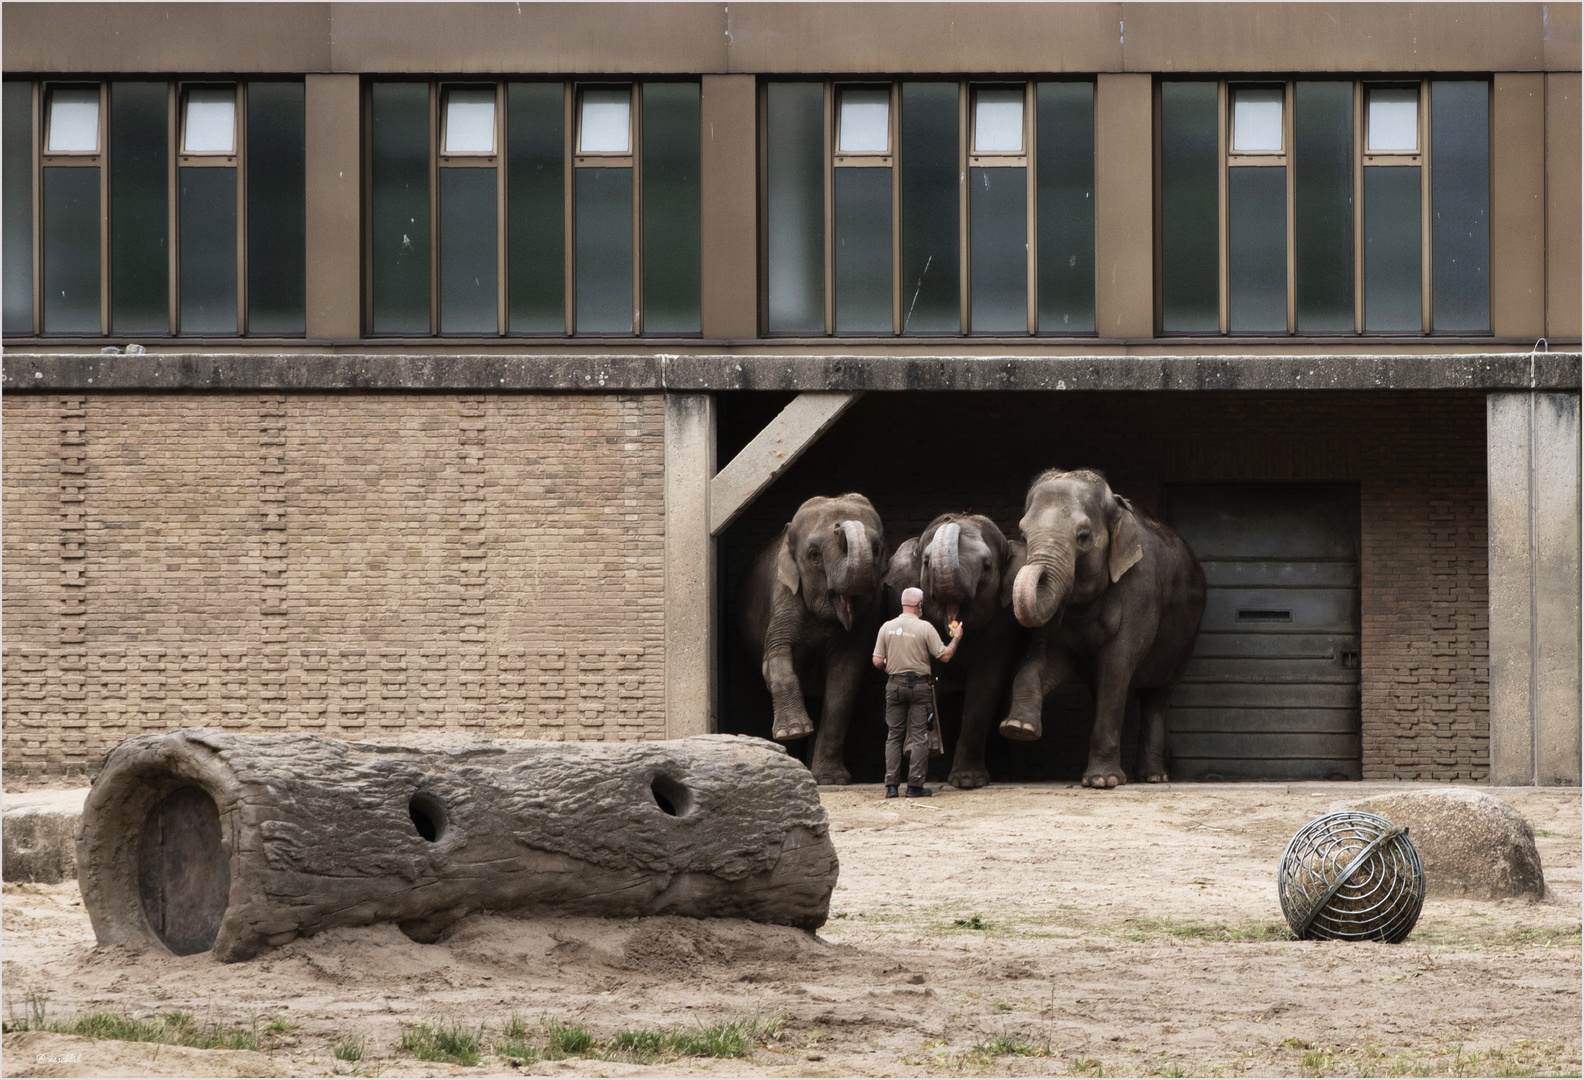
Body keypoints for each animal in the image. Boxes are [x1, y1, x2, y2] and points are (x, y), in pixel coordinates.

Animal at [744, 490, 893, 782]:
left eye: (876, 549)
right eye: (813, 554)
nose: (839, 528)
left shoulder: (867, 618)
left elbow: (844, 681)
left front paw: (832, 780)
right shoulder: (784, 599)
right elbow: (776, 658)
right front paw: (793, 732)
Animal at [887, 516, 1032, 791]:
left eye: (986, 566)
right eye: (926, 562)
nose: (952, 518)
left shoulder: (1002, 626)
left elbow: (984, 686)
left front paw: (968, 782)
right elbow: (931, 679)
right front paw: (925, 749)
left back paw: (1001, 775)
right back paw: (934, 776)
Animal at [994, 465, 1203, 785]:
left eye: (1083, 536)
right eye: (1023, 534)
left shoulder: (1140, 589)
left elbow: (1117, 666)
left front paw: (1103, 782)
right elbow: (1045, 660)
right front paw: (1019, 728)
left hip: (1185, 643)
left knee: (1156, 697)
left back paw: (1154, 777)